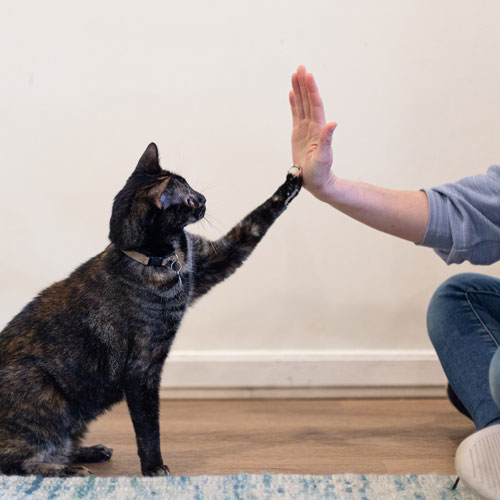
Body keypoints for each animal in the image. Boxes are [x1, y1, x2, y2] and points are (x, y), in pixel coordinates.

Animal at [0, 142, 300, 476]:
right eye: (189, 197)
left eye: (191, 186)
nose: (204, 198)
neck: (167, 259)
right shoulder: (142, 368)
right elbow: (148, 426)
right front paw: (154, 468)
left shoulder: (216, 261)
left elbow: (255, 222)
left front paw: (291, 183)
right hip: (40, 386)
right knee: (17, 461)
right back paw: (68, 470)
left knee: (60, 446)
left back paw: (88, 451)